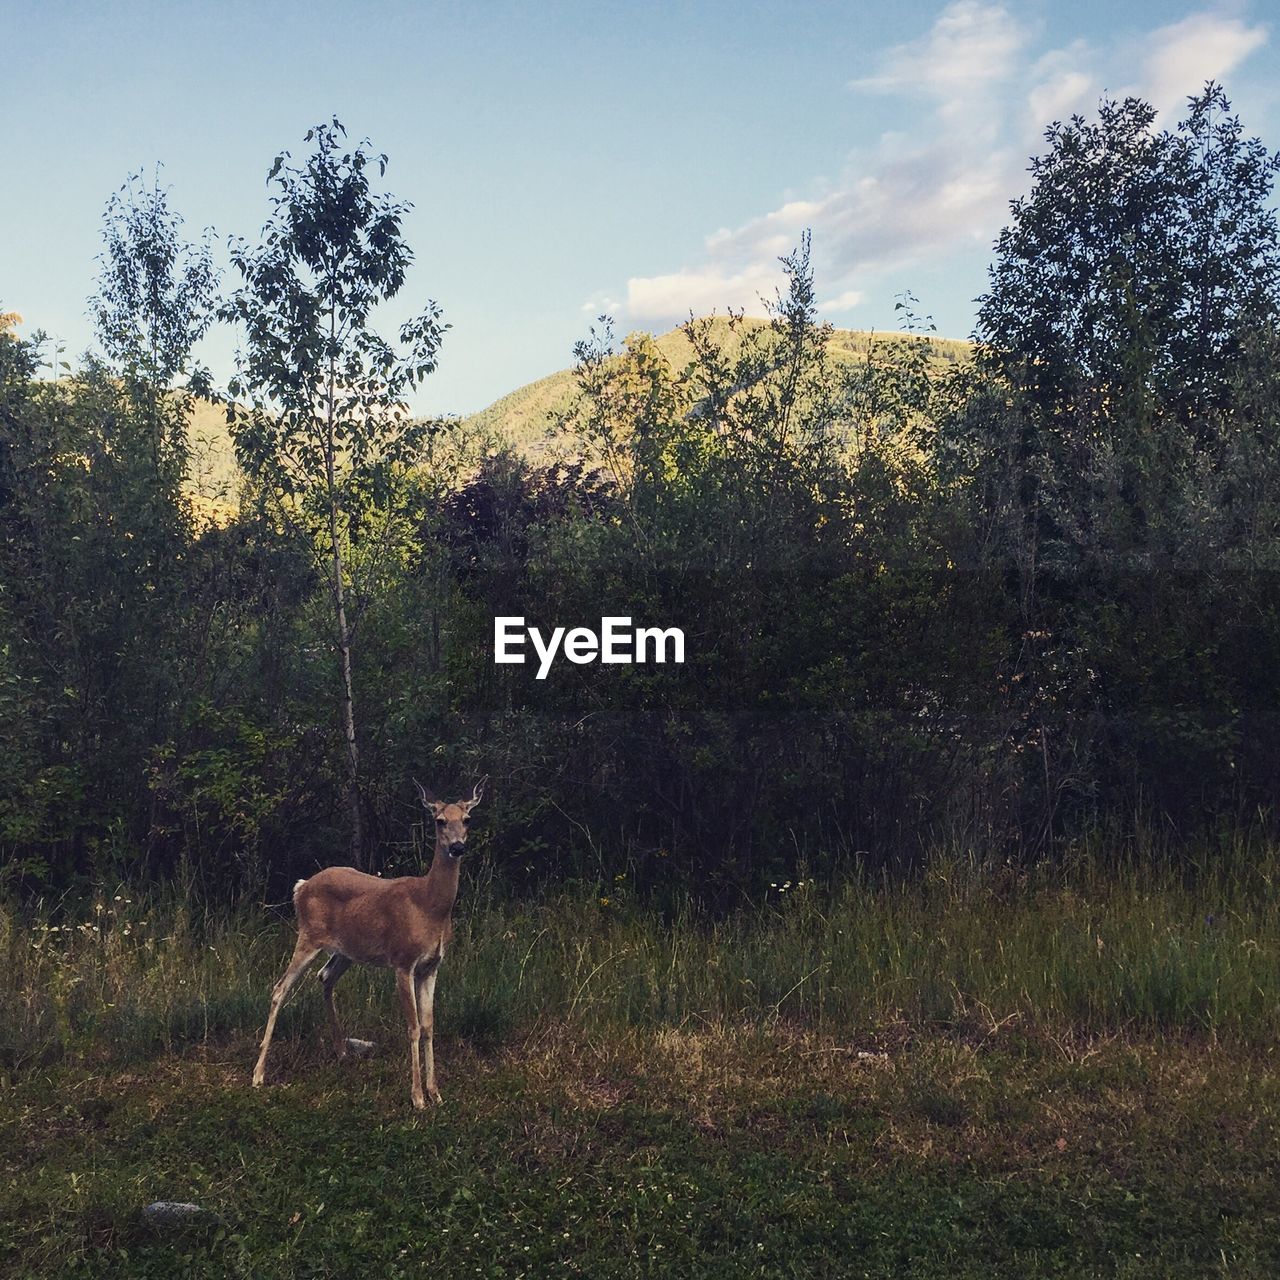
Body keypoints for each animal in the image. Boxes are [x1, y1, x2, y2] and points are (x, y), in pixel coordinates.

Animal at [252, 773, 486, 1105]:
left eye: (467, 819)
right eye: (439, 820)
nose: (457, 847)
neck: (429, 906)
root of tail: (301, 886)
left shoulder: (431, 966)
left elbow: (429, 1026)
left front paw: (436, 1093)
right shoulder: (403, 961)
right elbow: (413, 1027)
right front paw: (417, 1097)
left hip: (346, 950)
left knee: (325, 977)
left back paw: (342, 1052)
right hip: (308, 935)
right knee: (279, 988)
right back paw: (258, 1074)